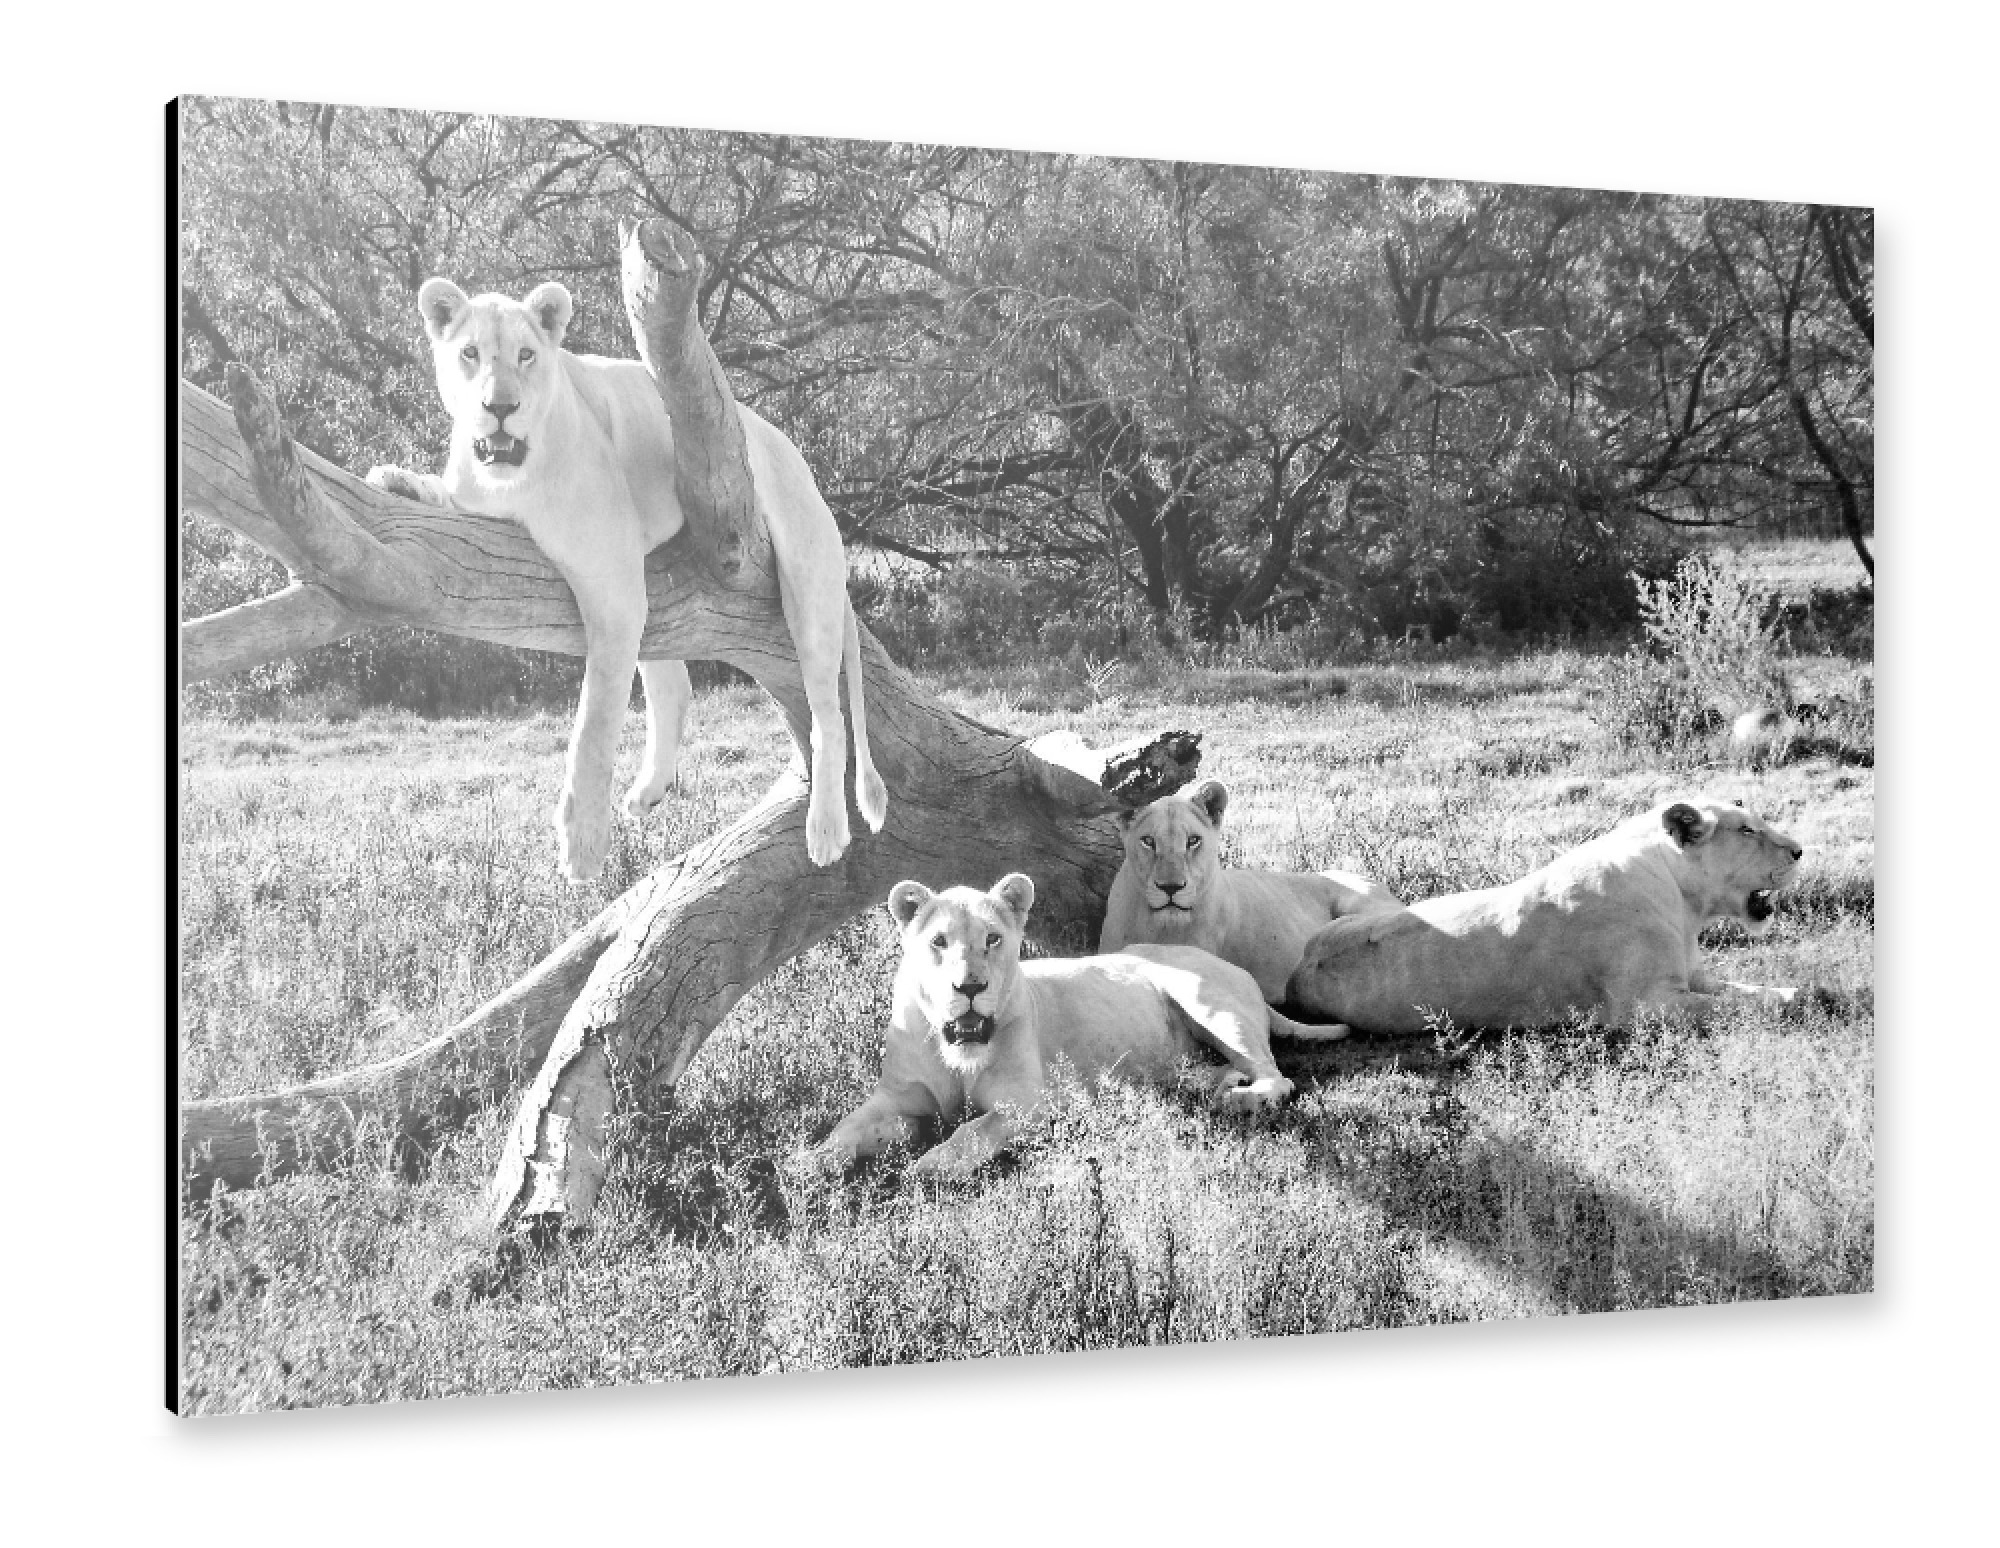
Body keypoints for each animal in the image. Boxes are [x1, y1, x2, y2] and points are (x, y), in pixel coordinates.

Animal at [366, 218, 885, 882]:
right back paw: (650, 790)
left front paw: (583, 843)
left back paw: (824, 830)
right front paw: (398, 480)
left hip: (807, 583)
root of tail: (788, 448)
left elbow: (595, 722)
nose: (500, 407)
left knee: (828, 715)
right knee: (676, 684)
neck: (513, 477)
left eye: (526, 355)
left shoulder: (609, 581)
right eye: (470, 354)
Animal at [816, 872, 1348, 1178]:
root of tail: (1237, 970)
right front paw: (809, 1166)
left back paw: (1239, 1099)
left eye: (993, 939)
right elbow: (846, 1129)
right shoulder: (896, 1099)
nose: (969, 986)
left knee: (1278, 1077)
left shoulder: (1029, 1106)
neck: (957, 1055)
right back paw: (1212, 1084)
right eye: (938, 942)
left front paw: (928, 1164)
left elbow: (973, 1130)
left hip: (1205, 999)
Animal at [1284, 797, 1817, 1034]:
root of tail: (1302, 960)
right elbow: (1735, 1008)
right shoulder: (1643, 1006)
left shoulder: (1694, 979)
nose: (1799, 850)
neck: (1687, 907)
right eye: (1747, 830)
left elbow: (1747, 992)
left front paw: (1799, 992)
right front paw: (1794, 1004)